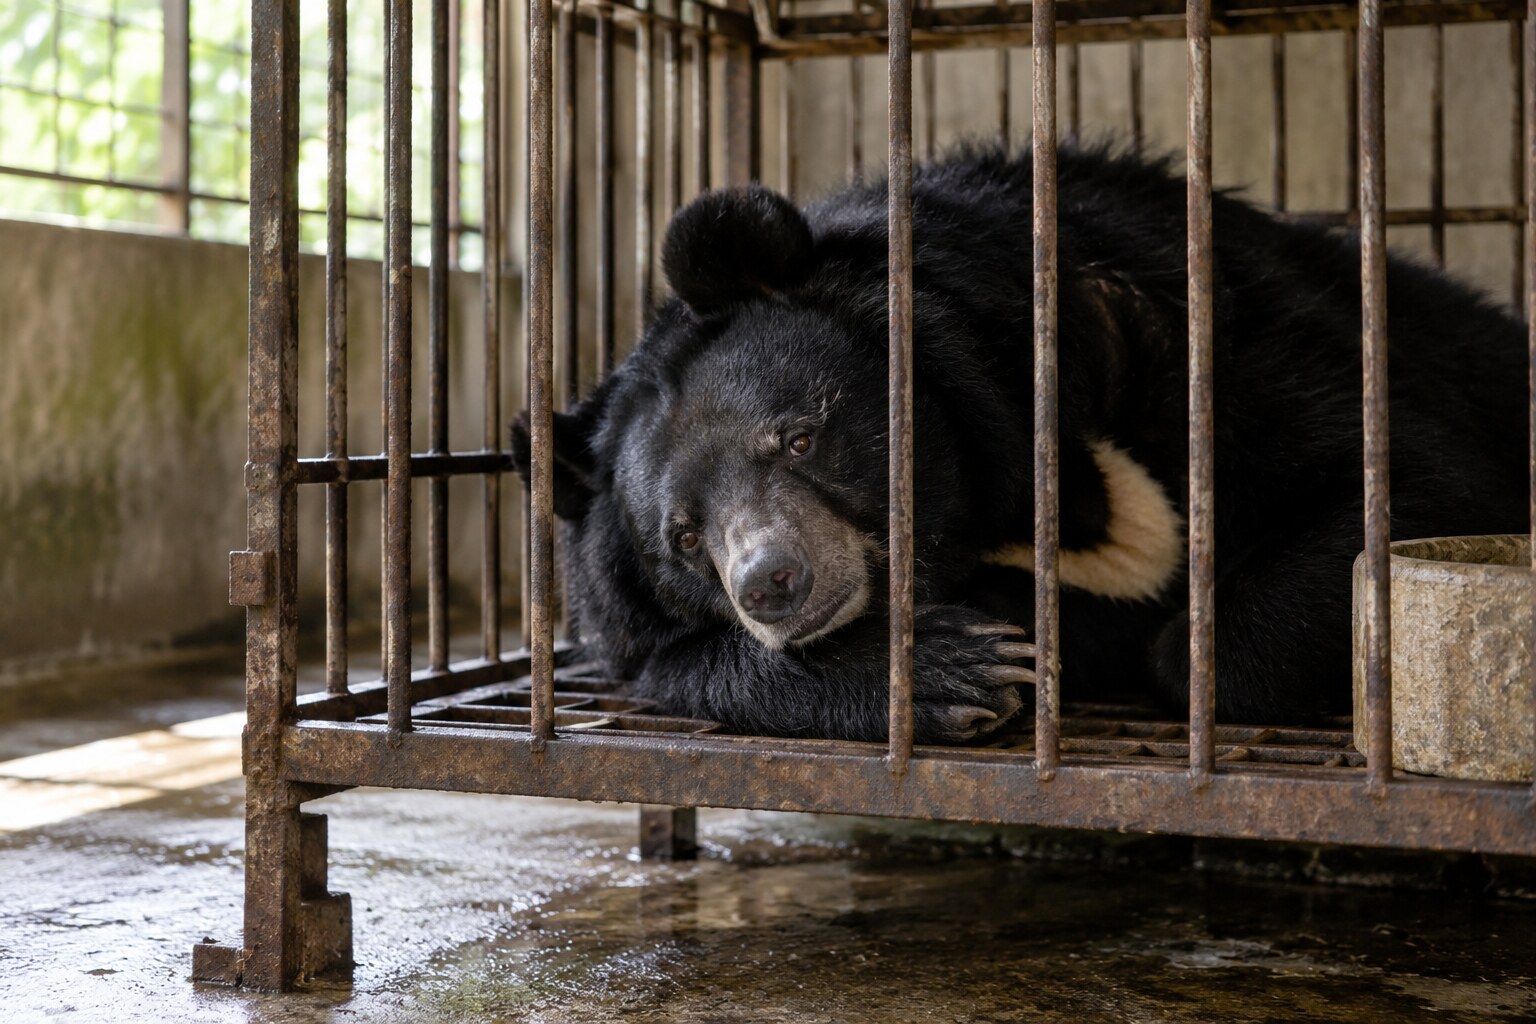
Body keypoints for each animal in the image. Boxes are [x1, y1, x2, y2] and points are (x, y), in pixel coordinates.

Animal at [511, 143, 1529, 745]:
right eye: (682, 540)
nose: (772, 585)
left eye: (799, 439)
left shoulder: (1179, 324)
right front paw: (960, 665)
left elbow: (1406, 477)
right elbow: (666, 664)